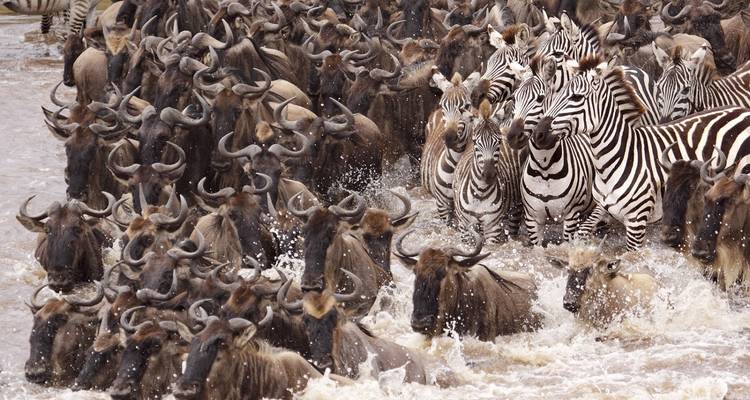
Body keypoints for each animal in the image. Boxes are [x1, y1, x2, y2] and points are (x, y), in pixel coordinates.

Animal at [453, 99, 524, 242]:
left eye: (499, 141)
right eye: (475, 142)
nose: (489, 175)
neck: (480, 193)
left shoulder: (493, 228)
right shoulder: (465, 228)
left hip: (517, 206)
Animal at [540, 54, 750, 250]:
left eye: (576, 97)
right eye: (557, 94)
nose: (538, 133)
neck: (618, 157)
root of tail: (743, 111)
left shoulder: (636, 222)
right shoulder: (604, 207)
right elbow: (582, 231)